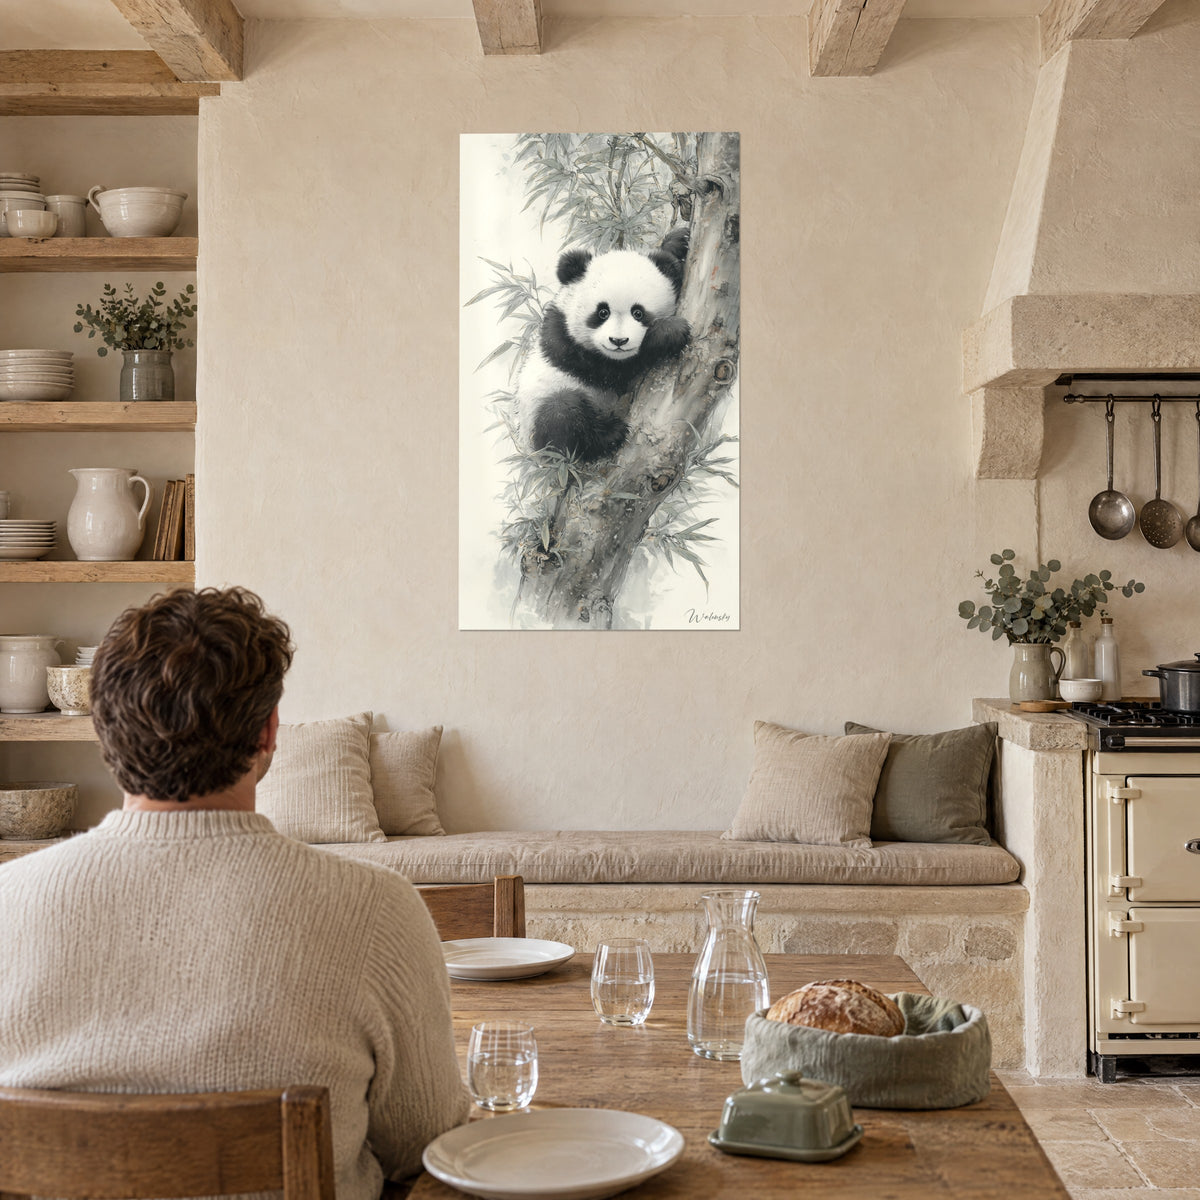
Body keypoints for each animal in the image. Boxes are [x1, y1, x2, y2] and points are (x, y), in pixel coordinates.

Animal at [514, 229, 691, 464]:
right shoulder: (565, 343)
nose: (618, 341)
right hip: (538, 421)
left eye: (638, 313)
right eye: (602, 312)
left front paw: (678, 242)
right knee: (562, 415)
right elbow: (616, 371)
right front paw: (670, 331)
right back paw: (609, 435)